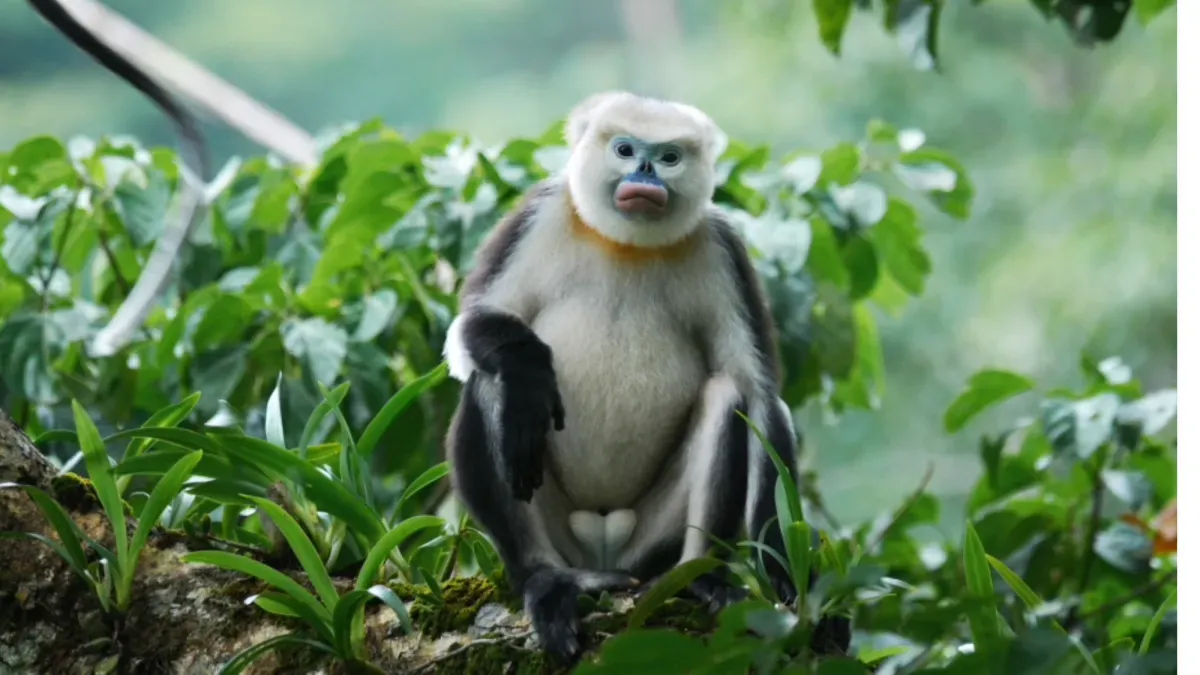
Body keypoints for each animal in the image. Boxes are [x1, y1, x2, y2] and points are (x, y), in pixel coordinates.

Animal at [443, 91, 851, 662]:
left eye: (669, 157)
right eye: (625, 149)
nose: (645, 173)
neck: (626, 244)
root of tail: (604, 552)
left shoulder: (719, 245)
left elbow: (759, 395)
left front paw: (791, 582)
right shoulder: (540, 214)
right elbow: (467, 332)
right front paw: (527, 370)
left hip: (649, 542)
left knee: (727, 395)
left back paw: (699, 579)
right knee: (490, 382)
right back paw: (547, 582)